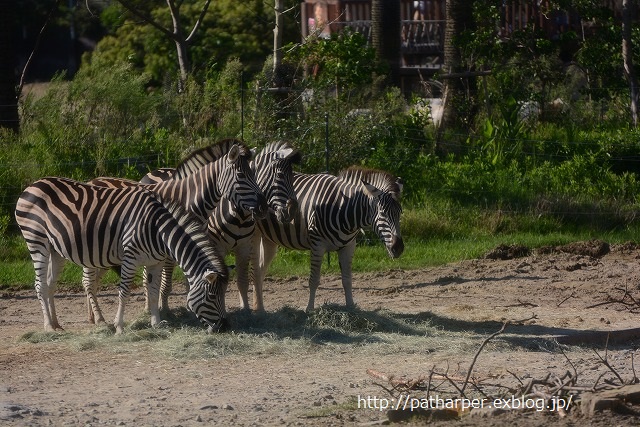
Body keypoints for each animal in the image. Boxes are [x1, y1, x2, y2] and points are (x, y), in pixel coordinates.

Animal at [13, 178, 230, 334]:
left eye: (223, 294)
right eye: (212, 296)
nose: (224, 327)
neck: (158, 229)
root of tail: (32, 185)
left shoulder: (155, 262)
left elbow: (153, 291)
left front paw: (156, 323)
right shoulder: (130, 257)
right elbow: (124, 292)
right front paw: (119, 326)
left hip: (55, 249)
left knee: (50, 284)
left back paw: (57, 324)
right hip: (36, 241)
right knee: (40, 285)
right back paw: (48, 327)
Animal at [248, 169, 402, 312]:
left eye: (400, 213)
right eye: (382, 213)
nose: (398, 248)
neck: (343, 209)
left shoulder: (349, 246)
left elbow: (347, 280)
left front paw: (351, 307)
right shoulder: (317, 245)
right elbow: (314, 280)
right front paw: (309, 309)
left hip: (269, 239)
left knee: (260, 270)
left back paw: (258, 307)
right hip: (253, 234)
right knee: (254, 272)